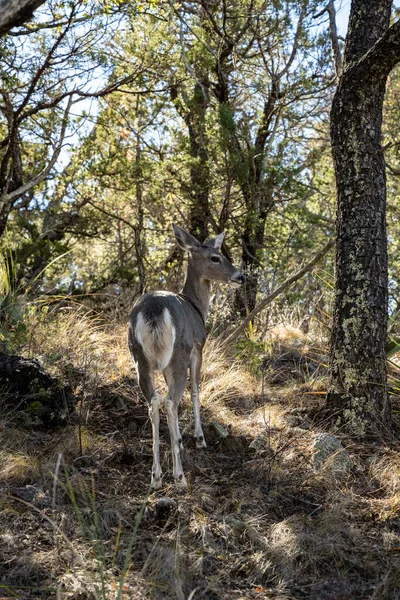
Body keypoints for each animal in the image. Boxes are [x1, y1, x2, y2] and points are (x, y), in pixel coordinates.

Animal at [130, 223, 245, 490]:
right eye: (216, 257)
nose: (240, 277)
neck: (197, 307)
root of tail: (153, 311)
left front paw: (179, 437)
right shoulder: (198, 348)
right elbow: (195, 391)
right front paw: (198, 437)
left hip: (139, 356)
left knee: (154, 402)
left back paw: (156, 477)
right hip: (179, 353)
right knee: (170, 401)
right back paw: (179, 476)